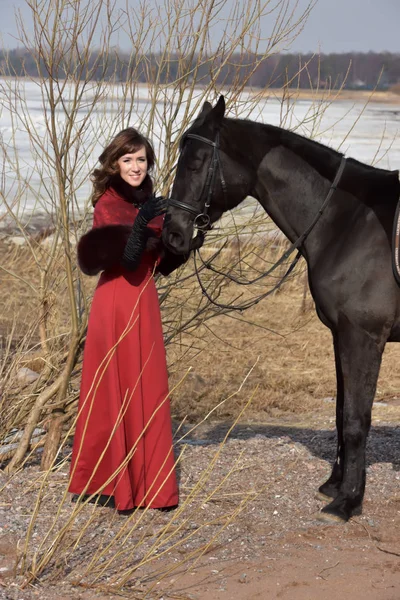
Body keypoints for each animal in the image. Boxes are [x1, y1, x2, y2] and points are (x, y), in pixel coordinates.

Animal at [162, 96, 400, 524]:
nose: (173, 233)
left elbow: (357, 419)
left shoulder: (363, 338)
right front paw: (335, 485)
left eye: (197, 161)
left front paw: (347, 502)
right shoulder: (340, 336)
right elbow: (340, 410)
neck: (347, 221)